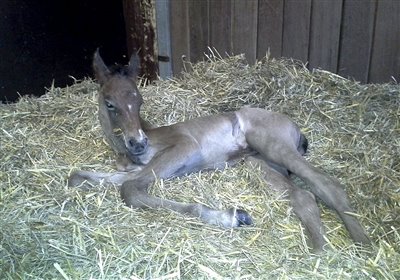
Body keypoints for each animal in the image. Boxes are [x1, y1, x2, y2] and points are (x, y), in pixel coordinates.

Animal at [69, 50, 372, 252]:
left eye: (140, 99)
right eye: (109, 103)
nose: (139, 142)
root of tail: (294, 126)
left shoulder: (183, 146)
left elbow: (130, 190)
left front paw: (233, 216)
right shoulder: (136, 169)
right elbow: (78, 178)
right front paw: (237, 216)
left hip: (275, 146)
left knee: (327, 183)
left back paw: (361, 243)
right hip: (259, 164)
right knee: (303, 195)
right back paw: (319, 248)